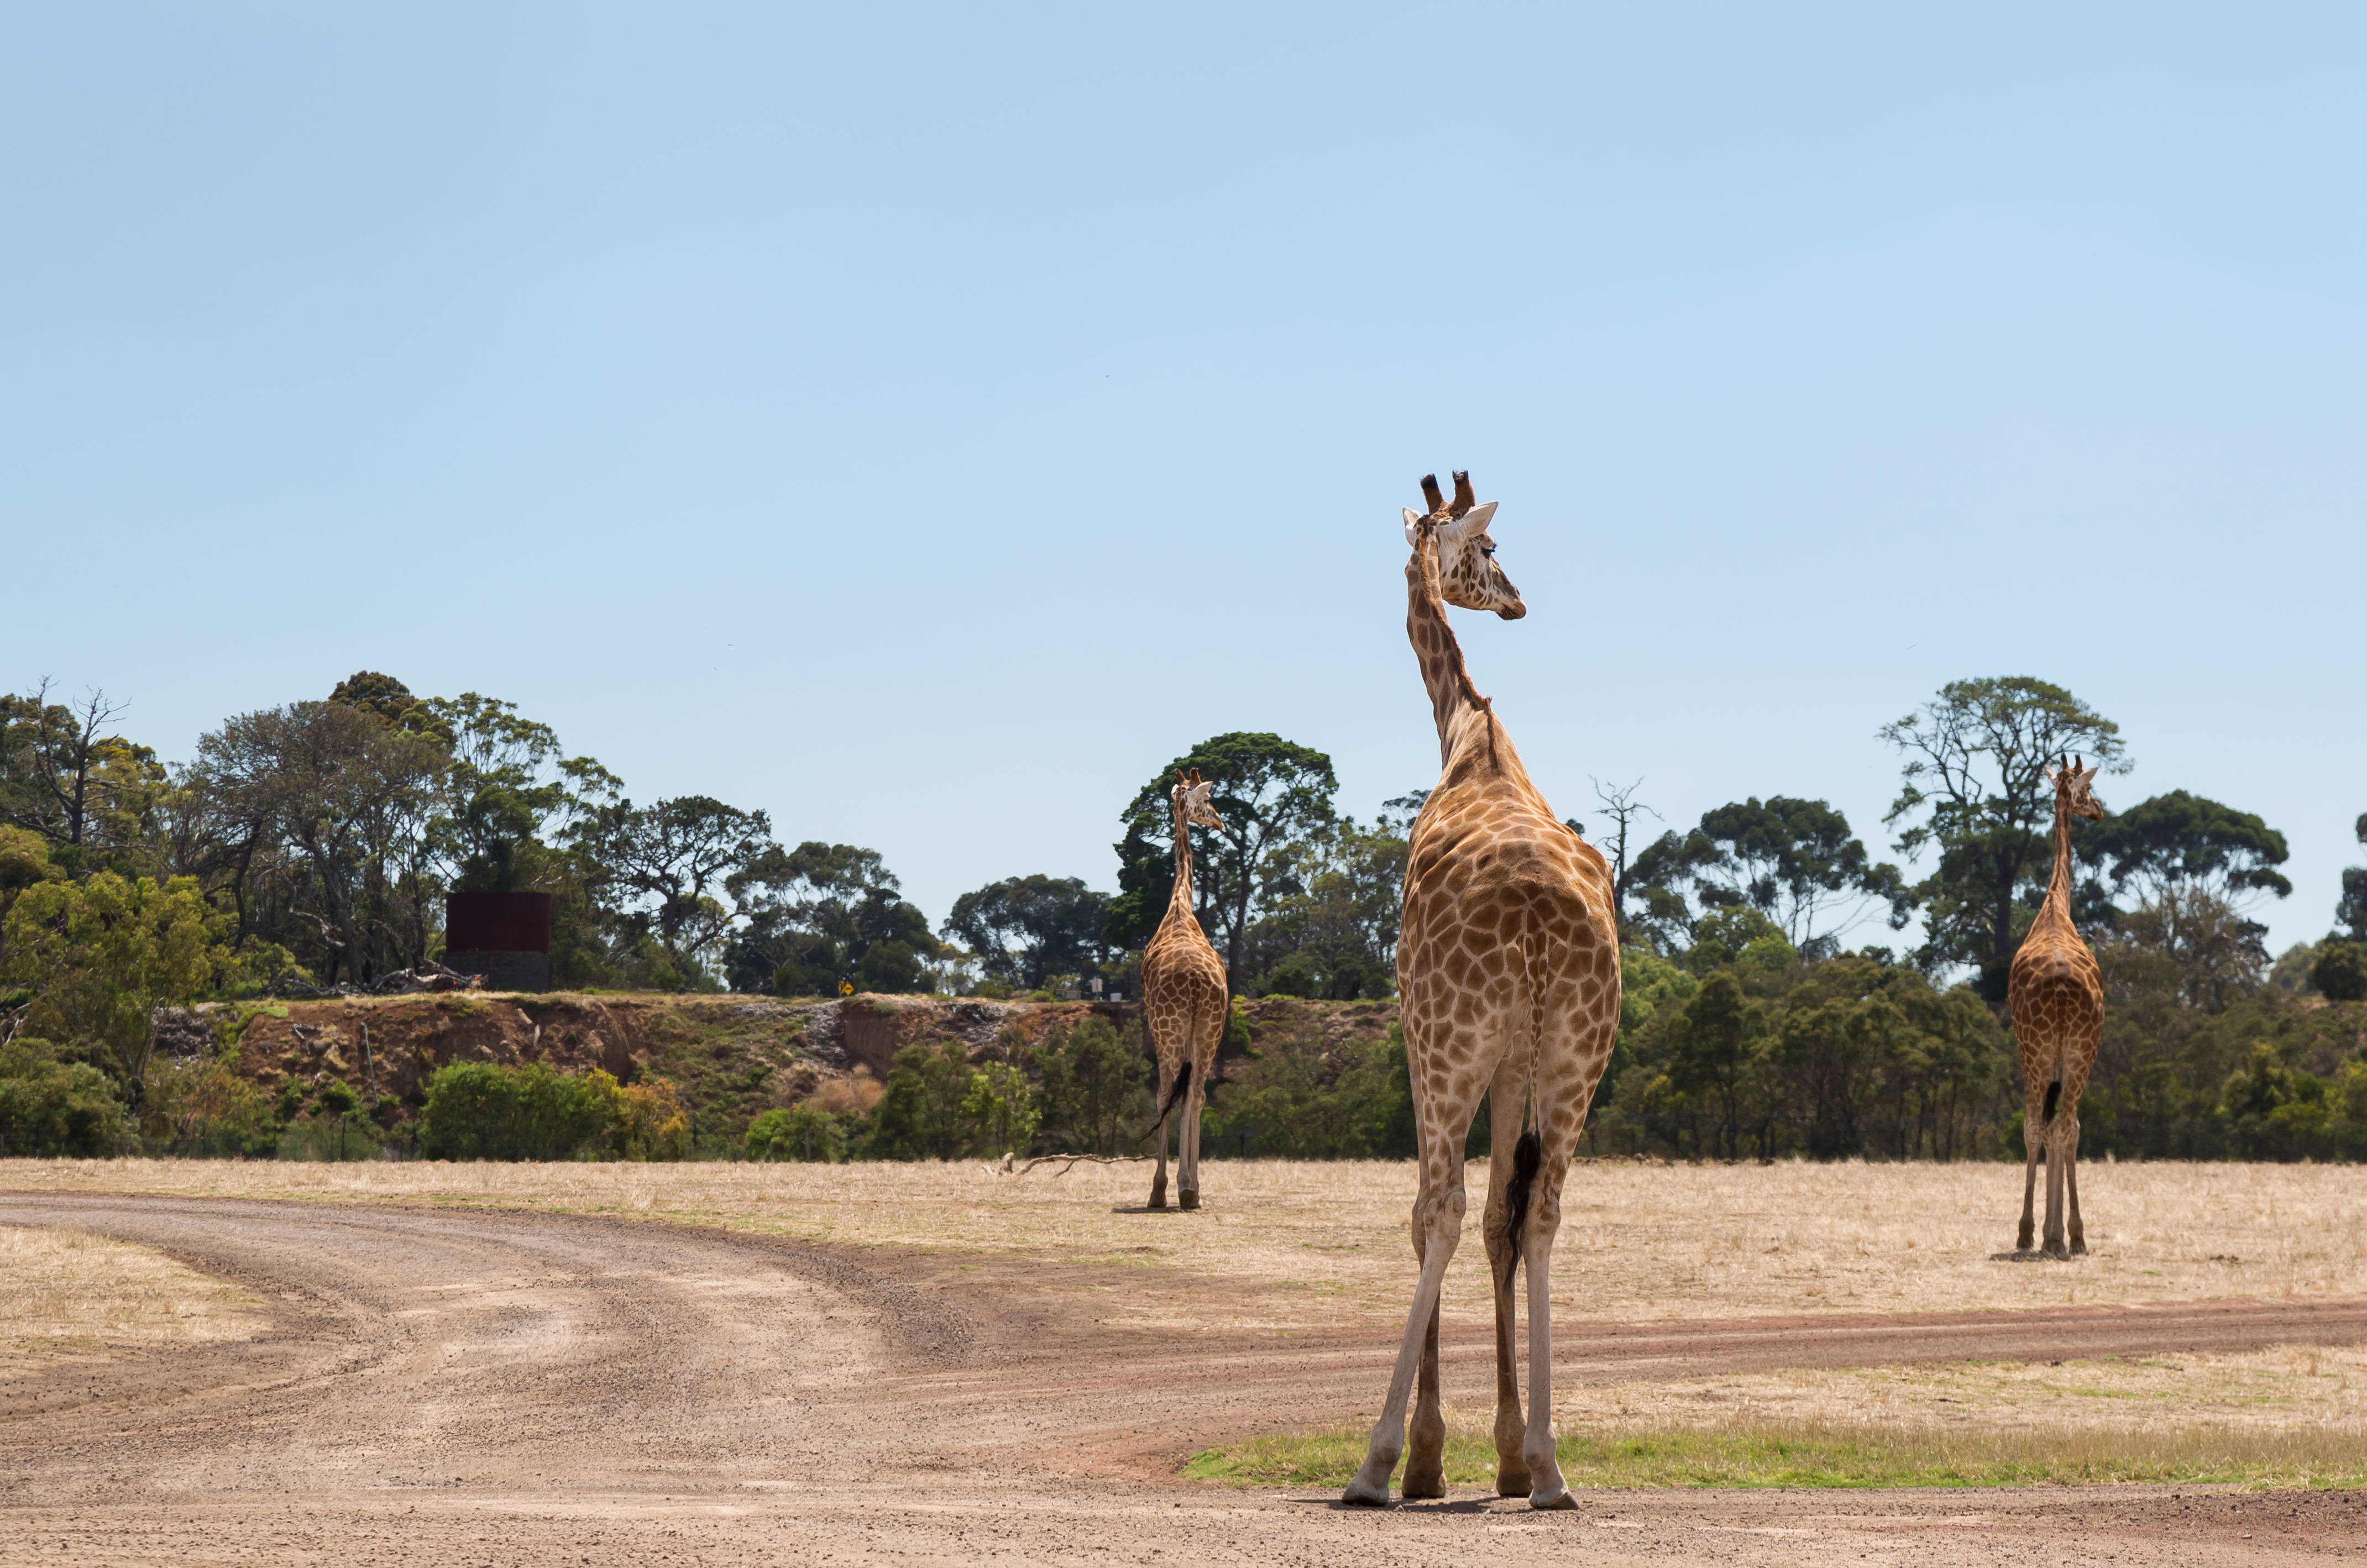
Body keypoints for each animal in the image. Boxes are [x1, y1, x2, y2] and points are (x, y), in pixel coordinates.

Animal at [1344, 468, 1619, 1513]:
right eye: (1495, 550)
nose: (1518, 600)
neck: (1471, 733)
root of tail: (1541, 926)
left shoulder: (1421, 1035)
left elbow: (1430, 1214)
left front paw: (1424, 1456)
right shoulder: (1517, 1063)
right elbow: (1505, 1217)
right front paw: (1504, 1451)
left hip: (1456, 1043)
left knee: (1445, 1209)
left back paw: (1372, 1461)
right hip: (1578, 1058)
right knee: (1536, 1214)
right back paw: (1549, 1465)